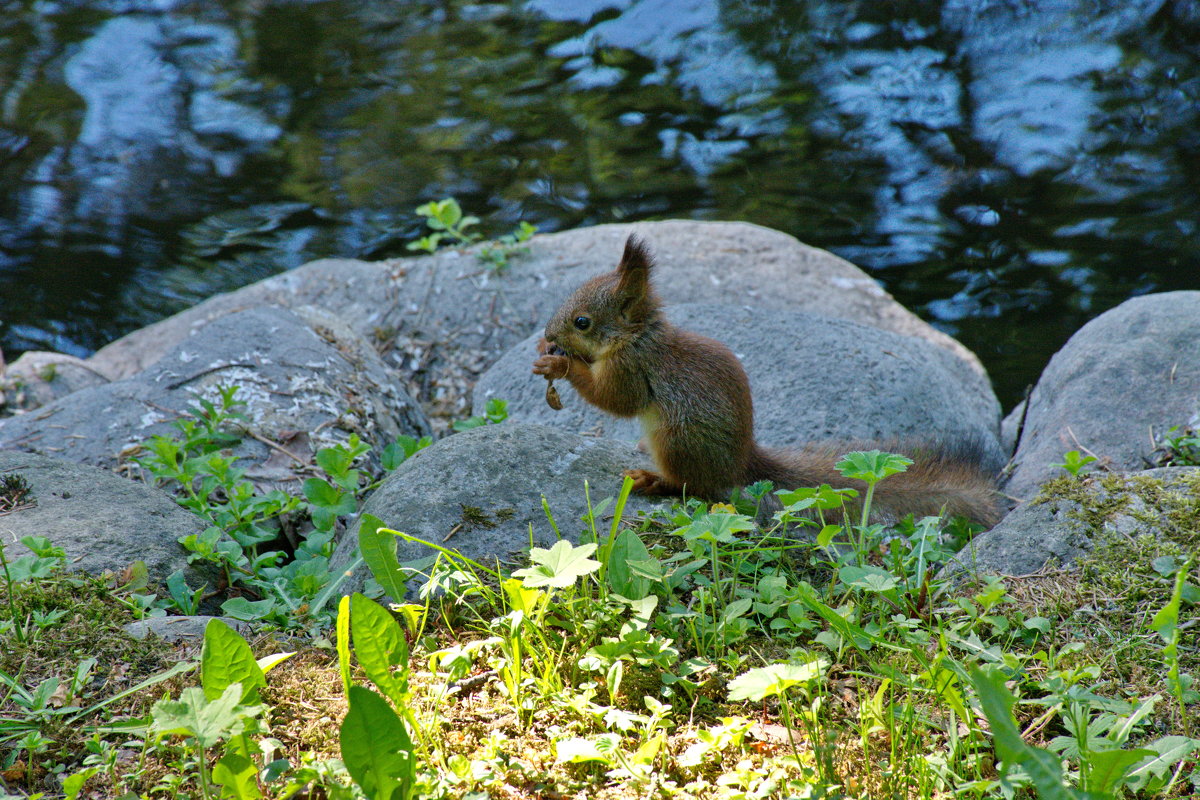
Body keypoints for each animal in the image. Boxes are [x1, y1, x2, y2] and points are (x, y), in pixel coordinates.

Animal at [530, 235, 998, 527]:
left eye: (583, 322)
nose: (550, 335)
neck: (637, 336)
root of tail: (742, 463)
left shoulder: (632, 368)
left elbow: (616, 400)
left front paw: (559, 367)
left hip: (678, 441)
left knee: (694, 487)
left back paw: (654, 479)